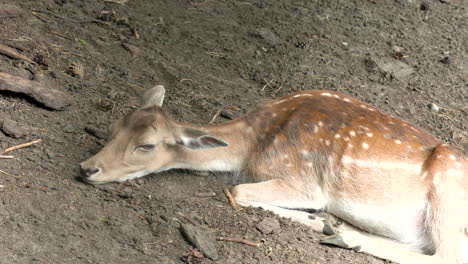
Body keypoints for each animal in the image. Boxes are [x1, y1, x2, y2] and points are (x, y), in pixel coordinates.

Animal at [80, 85, 468, 262]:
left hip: (447, 193)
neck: (254, 143)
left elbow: (239, 191)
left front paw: (321, 218)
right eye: (114, 127)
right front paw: (326, 221)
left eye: (146, 146)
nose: (87, 168)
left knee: (445, 254)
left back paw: (342, 235)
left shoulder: (305, 181)